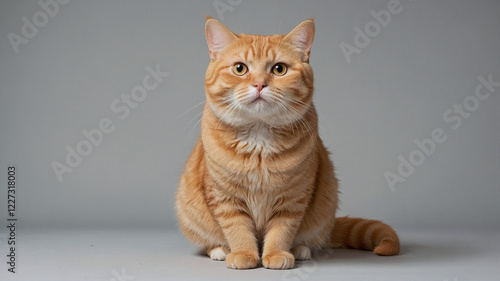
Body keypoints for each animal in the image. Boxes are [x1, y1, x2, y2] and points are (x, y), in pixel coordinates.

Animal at [176, 15, 398, 270]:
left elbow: (282, 230)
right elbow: (237, 229)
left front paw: (275, 254)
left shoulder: (293, 199)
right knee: (209, 241)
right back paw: (220, 250)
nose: (259, 84)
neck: (259, 141)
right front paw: (243, 254)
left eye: (279, 69)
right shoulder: (224, 198)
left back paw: (300, 249)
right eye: (240, 68)